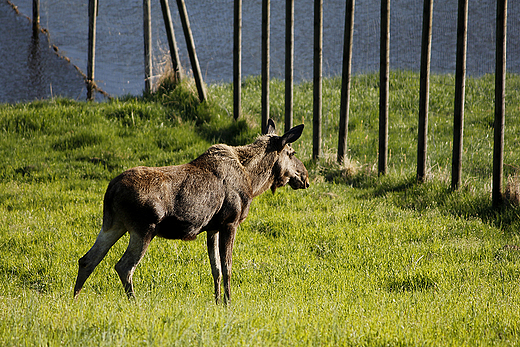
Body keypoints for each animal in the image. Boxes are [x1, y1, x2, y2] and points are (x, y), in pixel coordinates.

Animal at [73, 119, 308, 304]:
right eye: (292, 152)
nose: (305, 176)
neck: (253, 182)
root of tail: (111, 189)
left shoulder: (212, 228)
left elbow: (216, 269)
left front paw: (217, 302)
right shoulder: (230, 222)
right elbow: (228, 267)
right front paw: (229, 302)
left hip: (113, 224)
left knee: (87, 260)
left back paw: (74, 299)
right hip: (144, 228)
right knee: (124, 266)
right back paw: (134, 303)